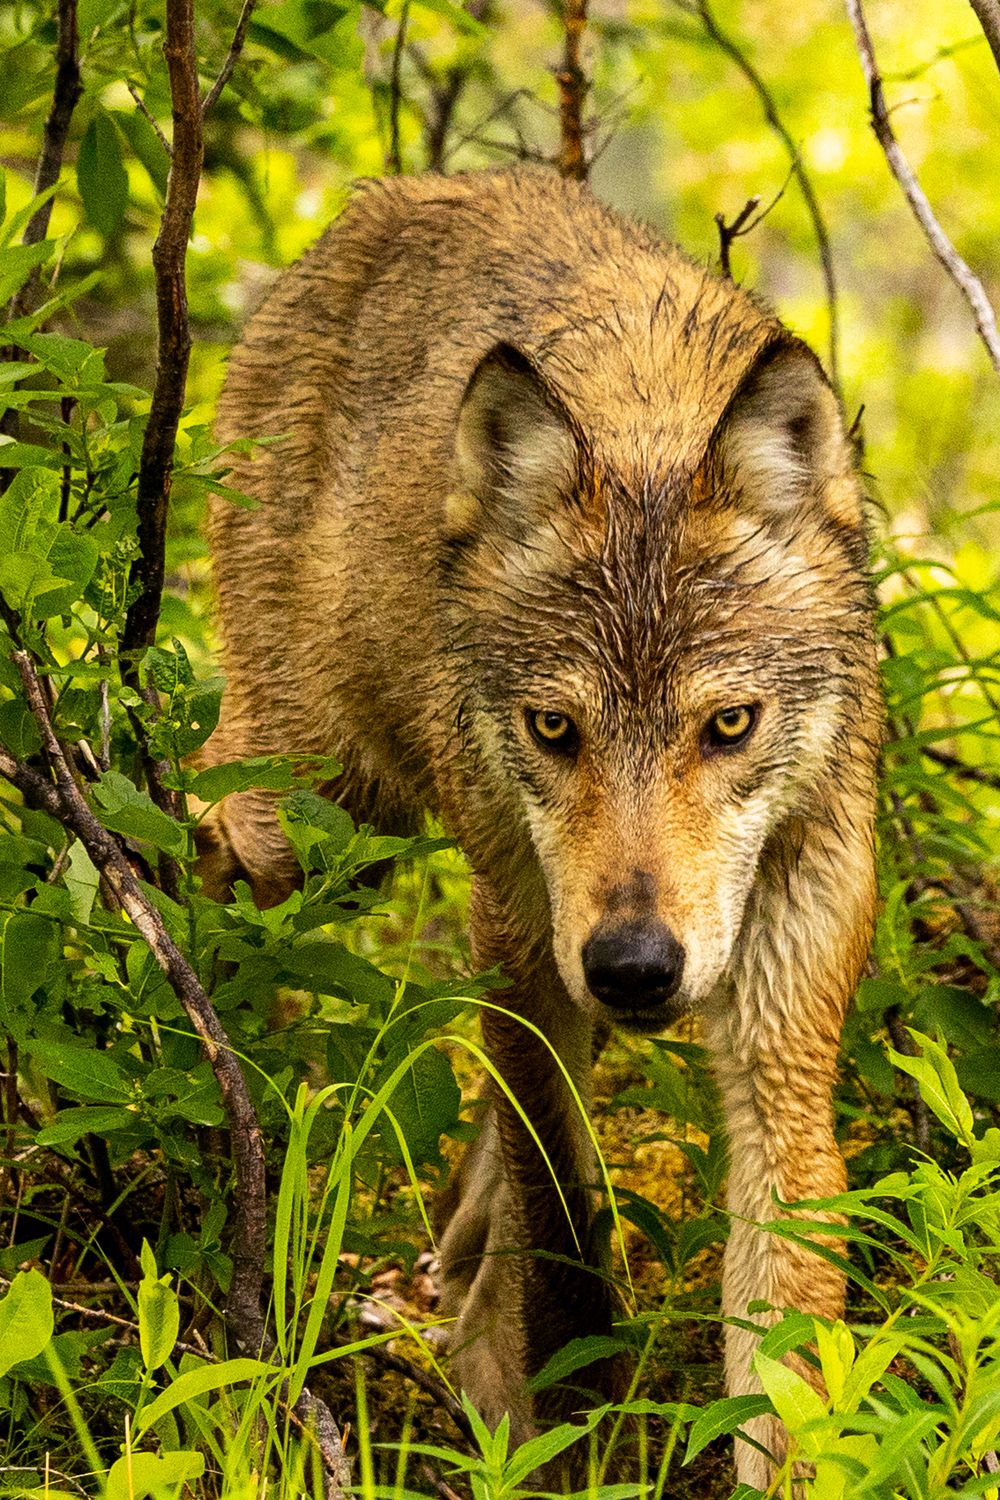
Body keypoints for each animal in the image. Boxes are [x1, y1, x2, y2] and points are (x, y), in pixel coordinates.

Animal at [199, 168, 882, 1486]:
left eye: (728, 724)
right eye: (555, 728)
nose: (634, 966)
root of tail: (391, 196)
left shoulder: (779, 1033)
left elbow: (785, 1354)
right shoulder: (520, 949)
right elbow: (564, 1225)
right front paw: (576, 1440)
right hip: (304, 817)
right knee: (185, 838)